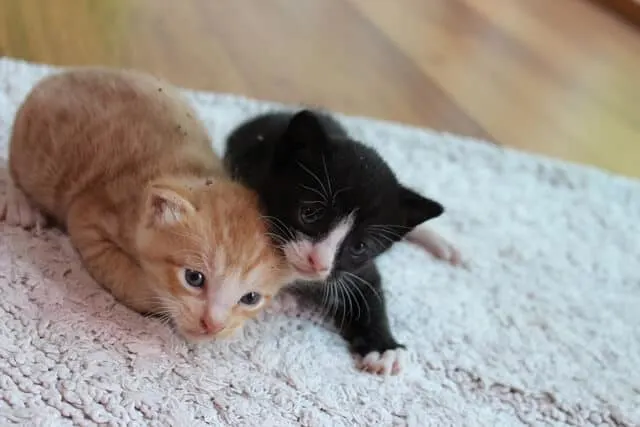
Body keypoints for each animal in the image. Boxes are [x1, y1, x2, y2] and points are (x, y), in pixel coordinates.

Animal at [0, 68, 296, 342]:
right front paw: (156, 299)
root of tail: (61, 75)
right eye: (194, 278)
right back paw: (18, 204)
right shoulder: (88, 216)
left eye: (250, 298)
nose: (213, 325)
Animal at [222, 109, 458, 374]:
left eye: (359, 246)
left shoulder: (357, 270)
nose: (317, 261)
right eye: (309, 213)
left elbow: (372, 294)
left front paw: (384, 349)